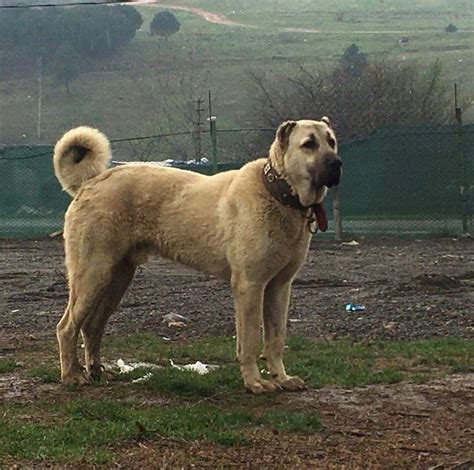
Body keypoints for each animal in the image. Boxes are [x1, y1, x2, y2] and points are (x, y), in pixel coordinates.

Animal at [52, 117, 340, 392]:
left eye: (331, 142)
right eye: (309, 144)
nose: (337, 163)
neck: (279, 193)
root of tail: (89, 182)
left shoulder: (280, 287)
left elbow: (276, 339)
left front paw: (282, 378)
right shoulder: (250, 285)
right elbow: (249, 341)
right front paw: (255, 383)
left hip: (117, 278)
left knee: (92, 325)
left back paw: (97, 372)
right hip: (93, 274)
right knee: (67, 327)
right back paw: (72, 376)